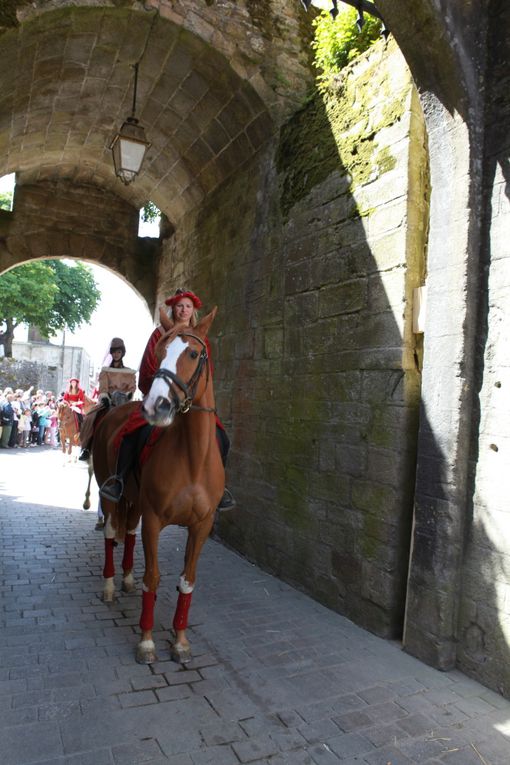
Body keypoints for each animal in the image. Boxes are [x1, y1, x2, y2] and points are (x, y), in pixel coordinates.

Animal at [92, 308, 224, 664]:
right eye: (161, 351)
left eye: (193, 354)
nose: (156, 406)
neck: (193, 459)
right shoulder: (153, 520)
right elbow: (152, 578)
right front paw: (147, 641)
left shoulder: (202, 525)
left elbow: (187, 581)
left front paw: (180, 641)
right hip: (110, 493)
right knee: (112, 532)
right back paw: (110, 585)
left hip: (135, 501)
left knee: (128, 533)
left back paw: (125, 579)